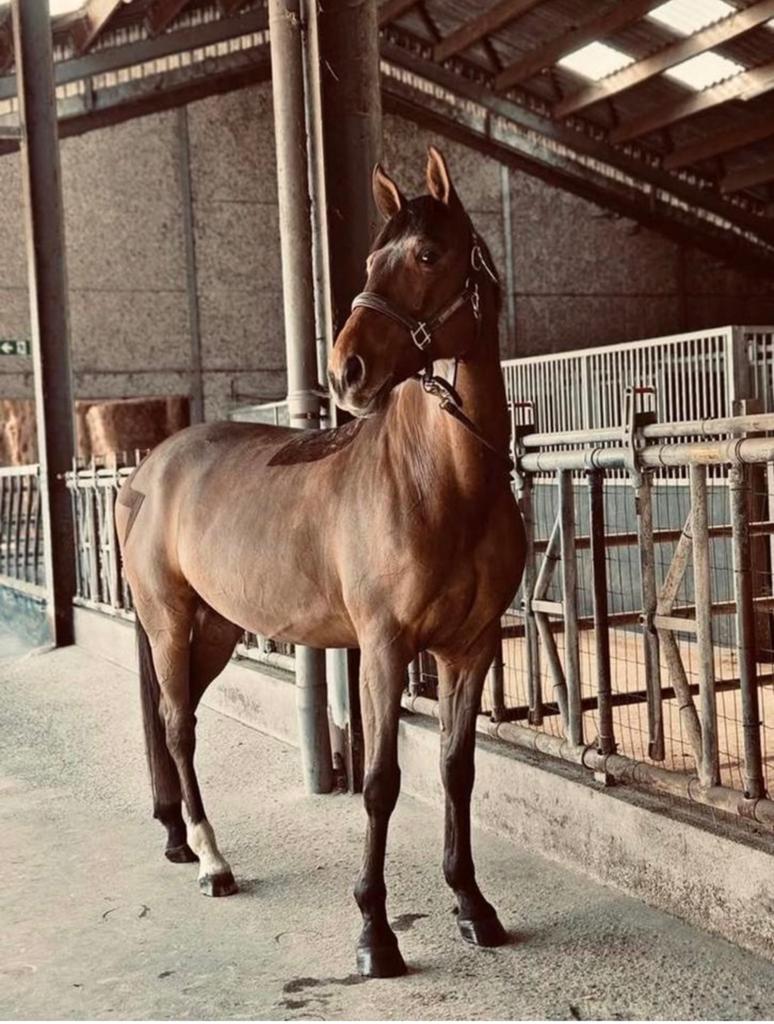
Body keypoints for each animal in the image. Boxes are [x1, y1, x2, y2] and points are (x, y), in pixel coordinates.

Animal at [115, 145, 525, 979]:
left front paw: (473, 906)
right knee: (177, 727)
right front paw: (375, 933)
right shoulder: (383, 648)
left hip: (214, 628)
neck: (442, 484)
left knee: (176, 719)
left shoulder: (471, 649)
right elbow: (380, 782)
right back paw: (212, 860)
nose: (347, 372)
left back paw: (178, 839)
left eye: (427, 255)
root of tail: (146, 474)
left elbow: (456, 772)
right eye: (369, 260)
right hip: (170, 621)